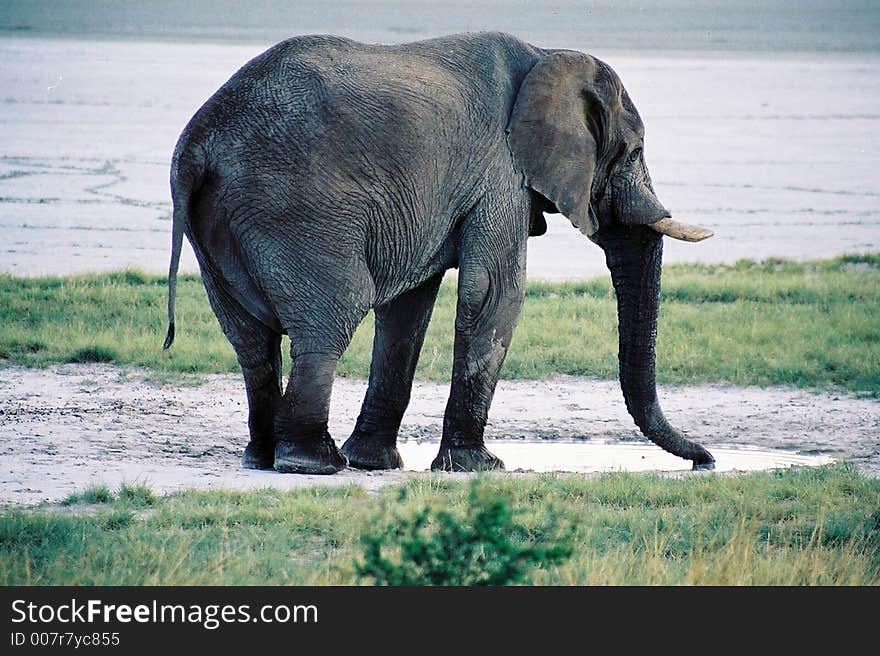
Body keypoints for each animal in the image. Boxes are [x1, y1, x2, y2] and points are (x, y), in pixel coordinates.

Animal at [163, 32, 716, 472]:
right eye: (635, 151)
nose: (705, 461)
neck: (544, 55)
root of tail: (197, 141)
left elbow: (408, 311)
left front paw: (377, 463)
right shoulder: (502, 171)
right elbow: (494, 293)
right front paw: (479, 467)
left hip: (218, 228)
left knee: (249, 340)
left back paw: (265, 457)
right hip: (295, 210)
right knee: (332, 316)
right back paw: (313, 463)